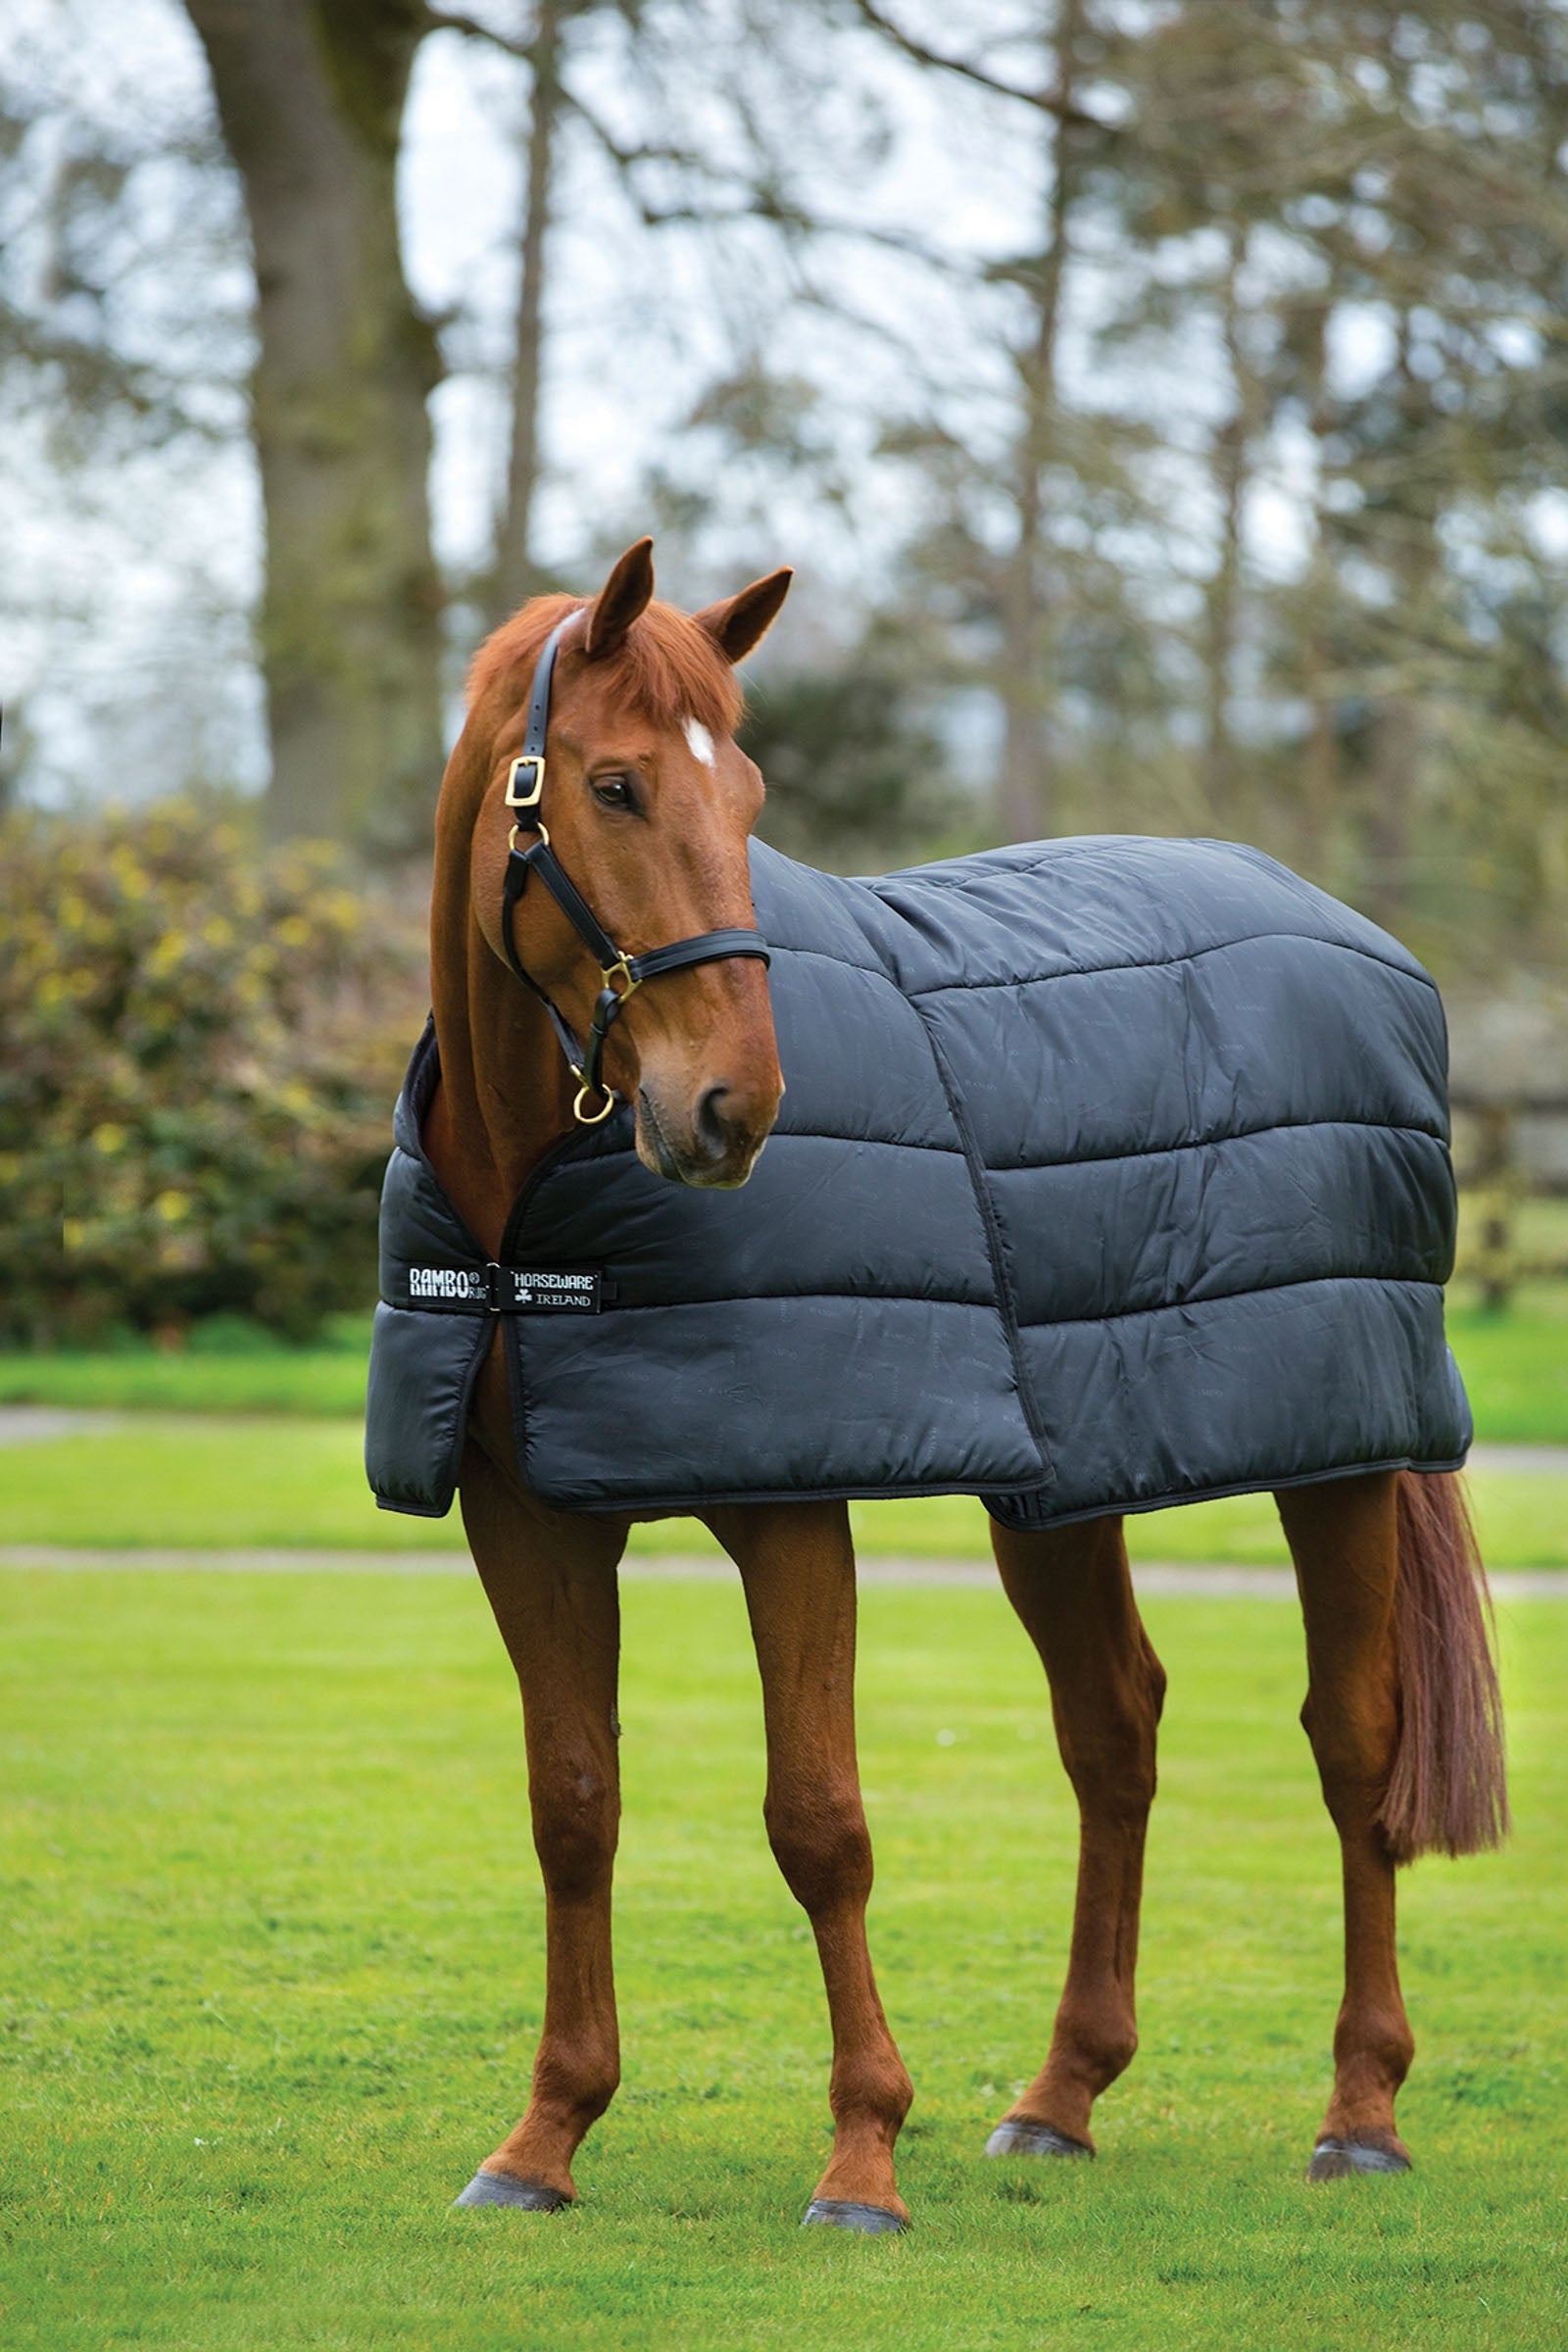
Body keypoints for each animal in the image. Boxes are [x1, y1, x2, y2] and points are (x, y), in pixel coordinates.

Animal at [405, 536, 1507, 2232]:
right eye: (613, 784)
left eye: (747, 795)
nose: (735, 1108)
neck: (529, 1208)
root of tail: (1359, 937)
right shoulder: (526, 1517)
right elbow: (573, 1805)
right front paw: (544, 2139)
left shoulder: (791, 1507)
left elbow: (820, 1824)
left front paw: (862, 2156)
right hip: (1068, 1482)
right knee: (1116, 1729)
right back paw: (1062, 2097)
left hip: (1343, 1461)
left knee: (1356, 1744)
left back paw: (1363, 2109)